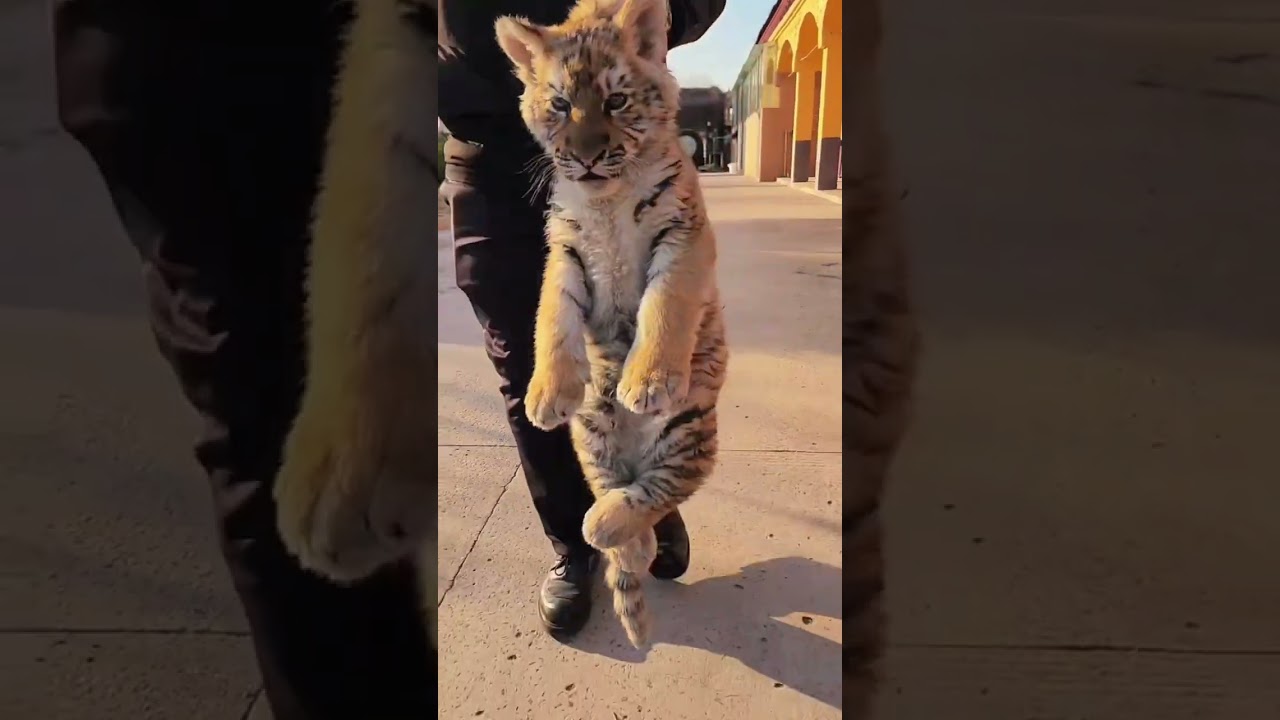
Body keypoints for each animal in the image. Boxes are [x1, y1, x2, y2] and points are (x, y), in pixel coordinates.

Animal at [494, 0, 729, 649]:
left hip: (689, 434)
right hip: (592, 437)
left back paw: (608, 525)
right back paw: (623, 538)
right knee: (618, 492)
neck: (607, 193)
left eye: (616, 101)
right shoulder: (565, 250)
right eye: (559, 105)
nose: (587, 155)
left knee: (657, 491)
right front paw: (546, 394)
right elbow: (551, 320)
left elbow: (665, 307)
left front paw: (646, 382)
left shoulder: (682, 237)